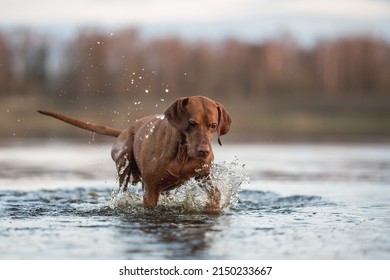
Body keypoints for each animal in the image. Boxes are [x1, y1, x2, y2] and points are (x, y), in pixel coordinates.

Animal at [38, 96, 230, 212]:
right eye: (191, 123)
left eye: (213, 125)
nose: (204, 151)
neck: (182, 154)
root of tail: (124, 130)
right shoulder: (151, 189)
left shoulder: (204, 176)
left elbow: (215, 194)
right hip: (124, 161)